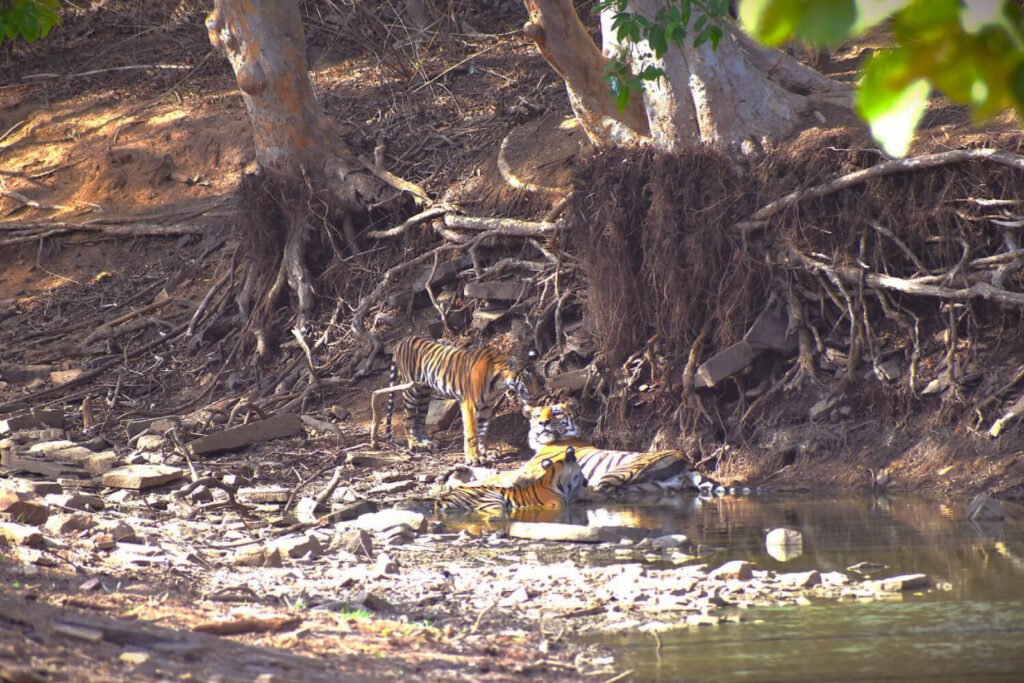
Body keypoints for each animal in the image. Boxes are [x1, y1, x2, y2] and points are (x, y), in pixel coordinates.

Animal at [369, 336, 541, 465]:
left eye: (536, 378)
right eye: (526, 379)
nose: (535, 395)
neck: (498, 383)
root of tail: (401, 342)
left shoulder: (486, 408)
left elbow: (483, 431)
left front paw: (485, 452)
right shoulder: (469, 405)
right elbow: (472, 432)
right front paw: (474, 458)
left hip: (424, 393)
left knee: (420, 420)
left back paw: (426, 442)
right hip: (411, 390)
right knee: (407, 419)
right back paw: (414, 444)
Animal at [524, 401, 715, 494]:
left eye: (556, 413)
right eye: (537, 415)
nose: (543, 423)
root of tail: (686, 461)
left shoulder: (529, 468)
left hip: (620, 470)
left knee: (598, 490)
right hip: (654, 486)